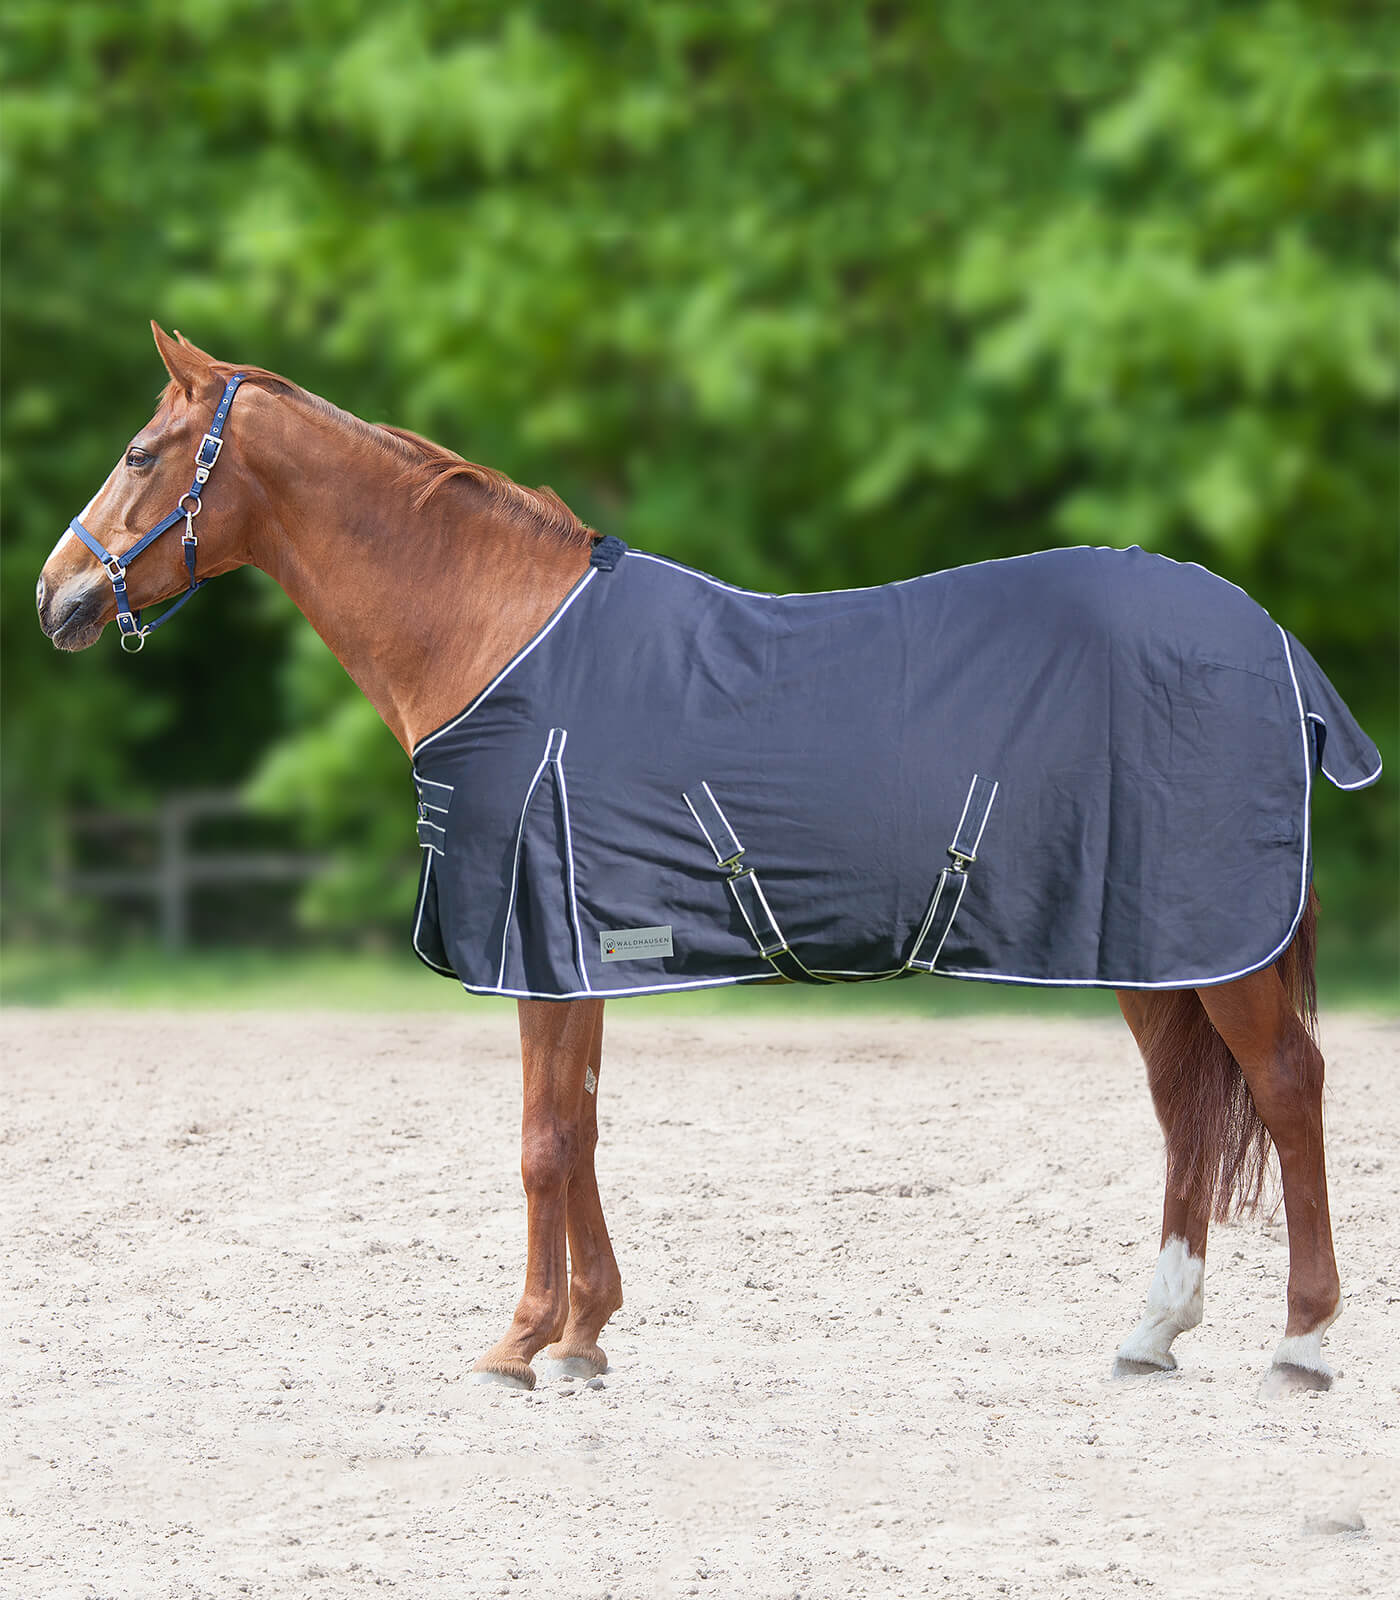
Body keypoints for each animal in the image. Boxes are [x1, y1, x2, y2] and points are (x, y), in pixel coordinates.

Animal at [36, 323, 1380, 1394]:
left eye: (143, 454)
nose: (56, 598)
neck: (498, 637)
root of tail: (1266, 639)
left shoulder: (538, 946)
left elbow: (540, 1141)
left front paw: (518, 1342)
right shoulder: (574, 956)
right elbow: (577, 1129)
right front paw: (584, 1335)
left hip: (1208, 945)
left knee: (1286, 1084)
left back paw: (1302, 1342)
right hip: (1143, 942)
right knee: (1184, 1109)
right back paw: (1153, 1330)